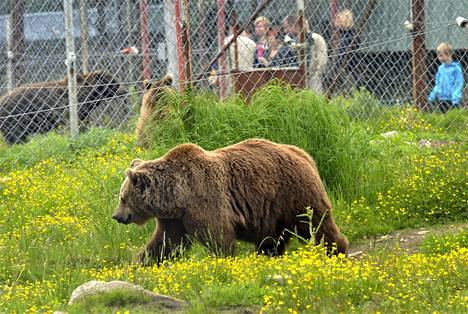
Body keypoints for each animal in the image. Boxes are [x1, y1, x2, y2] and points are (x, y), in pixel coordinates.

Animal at [112, 139, 348, 264]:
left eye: (123, 197)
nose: (116, 216)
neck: (177, 196)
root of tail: (303, 154)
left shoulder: (205, 200)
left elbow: (218, 236)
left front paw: (223, 261)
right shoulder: (175, 219)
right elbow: (166, 242)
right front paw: (141, 262)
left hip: (294, 193)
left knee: (316, 222)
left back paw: (336, 251)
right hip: (272, 209)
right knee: (272, 238)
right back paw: (266, 256)